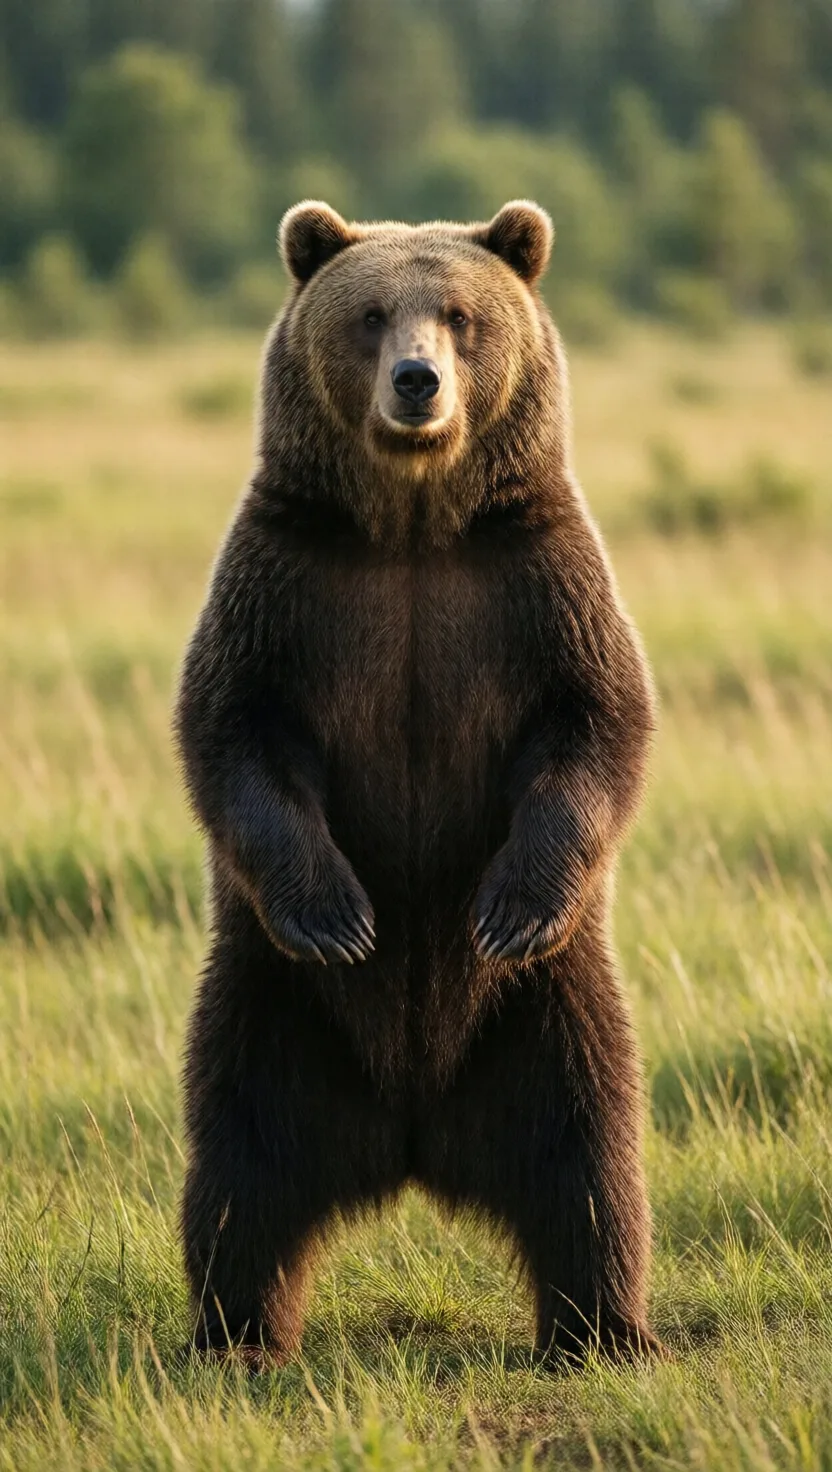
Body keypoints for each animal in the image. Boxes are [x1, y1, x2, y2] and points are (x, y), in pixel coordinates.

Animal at [174, 199, 660, 1369]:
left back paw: (603, 1328)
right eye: (369, 314)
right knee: (240, 1167)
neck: (410, 523)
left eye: (460, 315)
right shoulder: (286, 587)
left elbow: (598, 724)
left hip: (545, 1013)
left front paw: (509, 906)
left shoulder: (535, 582)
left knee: (588, 1156)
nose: (416, 381)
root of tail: (410, 1136)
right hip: (272, 1010)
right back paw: (237, 1333)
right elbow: (233, 733)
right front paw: (341, 914)